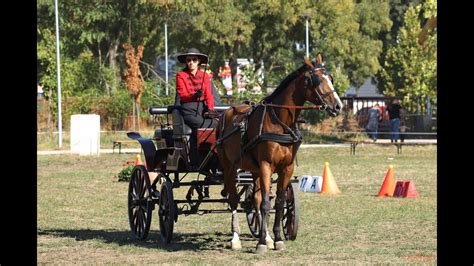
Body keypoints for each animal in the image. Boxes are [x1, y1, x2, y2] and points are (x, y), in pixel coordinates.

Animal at [217, 54, 342, 254]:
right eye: (316, 80)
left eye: (330, 78)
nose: (338, 106)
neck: (279, 122)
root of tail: (226, 113)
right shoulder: (266, 165)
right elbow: (267, 204)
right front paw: (261, 243)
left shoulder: (286, 168)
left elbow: (279, 203)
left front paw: (276, 239)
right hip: (229, 166)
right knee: (234, 199)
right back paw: (235, 239)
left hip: (254, 170)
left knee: (256, 200)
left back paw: (266, 236)